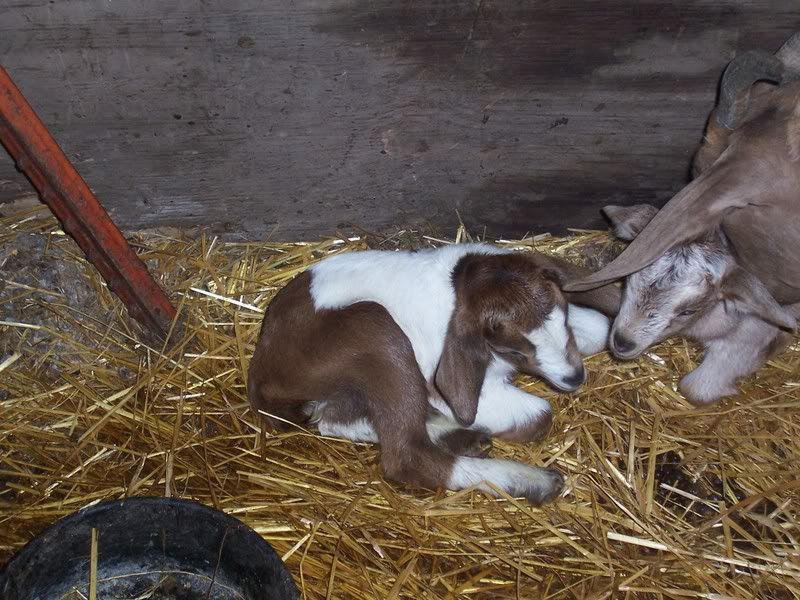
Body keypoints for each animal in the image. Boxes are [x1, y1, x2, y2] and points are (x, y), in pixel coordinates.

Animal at [247, 243, 619, 504]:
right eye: (514, 350)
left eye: (565, 312)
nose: (574, 379)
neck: (457, 285)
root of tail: (261, 372)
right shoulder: (450, 386)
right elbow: (540, 415)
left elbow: (600, 329)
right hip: (376, 332)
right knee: (404, 456)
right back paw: (530, 480)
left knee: (334, 420)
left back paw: (459, 437)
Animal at [602, 203, 797, 405]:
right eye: (627, 280)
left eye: (688, 311)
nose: (622, 342)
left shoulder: (753, 332)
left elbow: (693, 389)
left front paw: (775, 346)